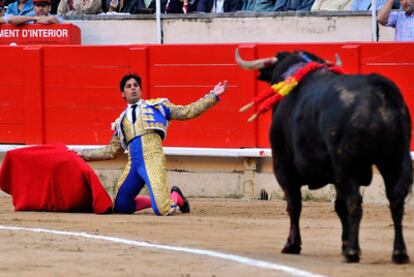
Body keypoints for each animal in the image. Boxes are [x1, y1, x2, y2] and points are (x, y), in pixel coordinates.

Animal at [234, 49, 412, 264]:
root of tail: (377, 90)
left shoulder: (283, 168)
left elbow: (294, 205)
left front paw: (292, 245)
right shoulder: (335, 175)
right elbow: (338, 206)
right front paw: (343, 243)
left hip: (347, 164)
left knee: (354, 202)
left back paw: (353, 252)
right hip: (395, 159)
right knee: (396, 201)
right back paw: (399, 253)